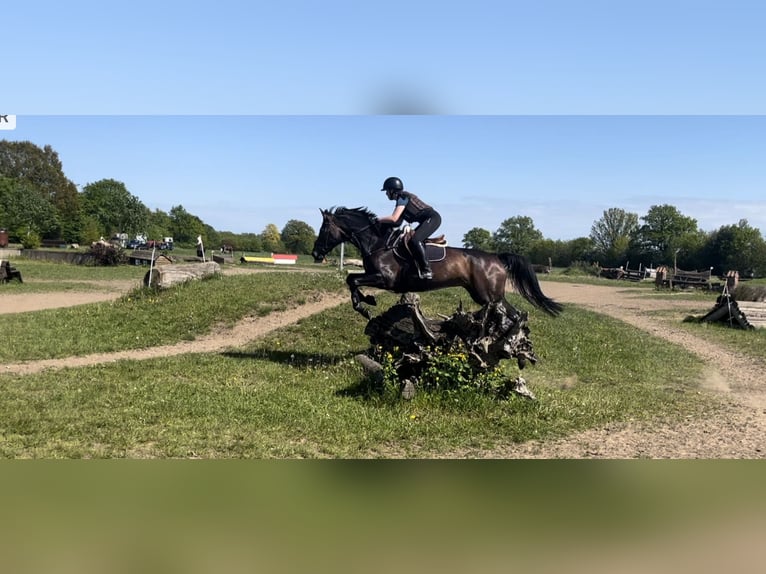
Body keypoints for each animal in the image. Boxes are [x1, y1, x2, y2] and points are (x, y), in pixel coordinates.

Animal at [312, 207, 564, 322]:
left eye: (324, 229)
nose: (315, 253)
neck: (378, 243)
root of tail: (496, 258)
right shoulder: (374, 275)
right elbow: (351, 279)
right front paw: (367, 301)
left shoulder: (385, 279)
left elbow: (352, 279)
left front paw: (364, 305)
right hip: (481, 295)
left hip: (490, 296)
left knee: (513, 313)